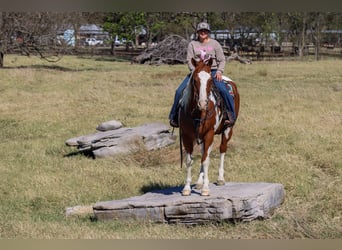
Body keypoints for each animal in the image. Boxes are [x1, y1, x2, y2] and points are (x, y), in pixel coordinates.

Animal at [179, 56, 240, 195]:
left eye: (210, 80)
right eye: (195, 79)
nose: (203, 103)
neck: (198, 113)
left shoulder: (209, 133)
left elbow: (206, 160)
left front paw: (206, 189)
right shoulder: (186, 136)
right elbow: (189, 160)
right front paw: (187, 188)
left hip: (228, 130)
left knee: (222, 149)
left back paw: (220, 179)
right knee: (204, 152)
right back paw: (199, 182)